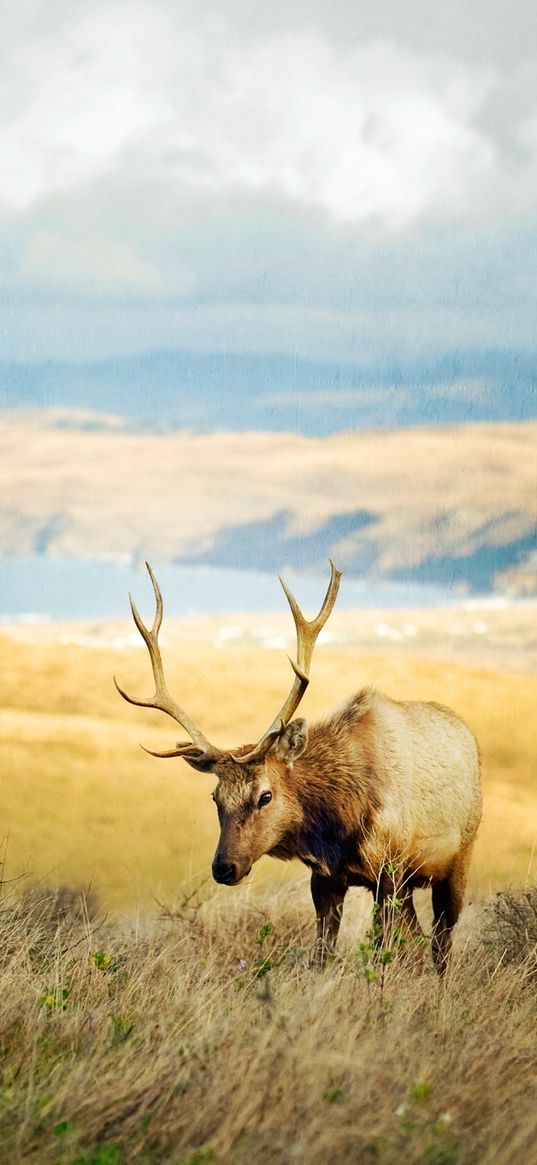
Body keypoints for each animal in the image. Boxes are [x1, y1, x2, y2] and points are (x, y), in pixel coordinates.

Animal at [115, 559, 482, 969]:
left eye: (265, 795)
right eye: (215, 798)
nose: (224, 867)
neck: (338, 823)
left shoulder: (390, 871)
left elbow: (383, 951)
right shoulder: (325, 878)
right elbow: (322, 954)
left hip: (459, 858)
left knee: (440, 943)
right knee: (421, 937)